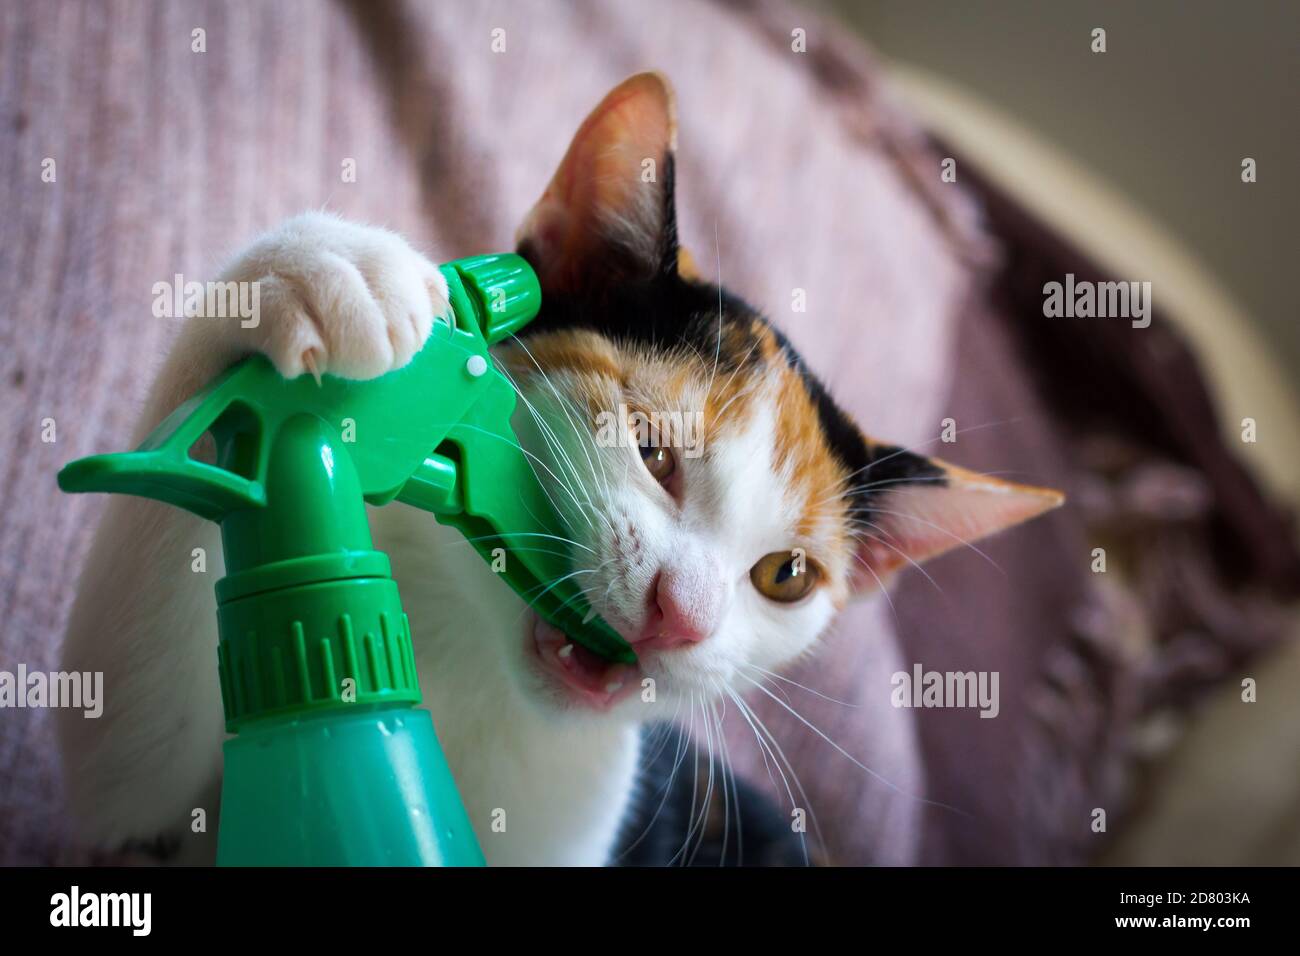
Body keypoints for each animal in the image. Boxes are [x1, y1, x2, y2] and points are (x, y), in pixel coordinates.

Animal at [55, 74, 1060, 868]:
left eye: (787, 576)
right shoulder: (139, 808)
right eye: (650, 448)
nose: (682, 617)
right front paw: (320, 263)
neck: (470, 669)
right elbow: (117, 751)